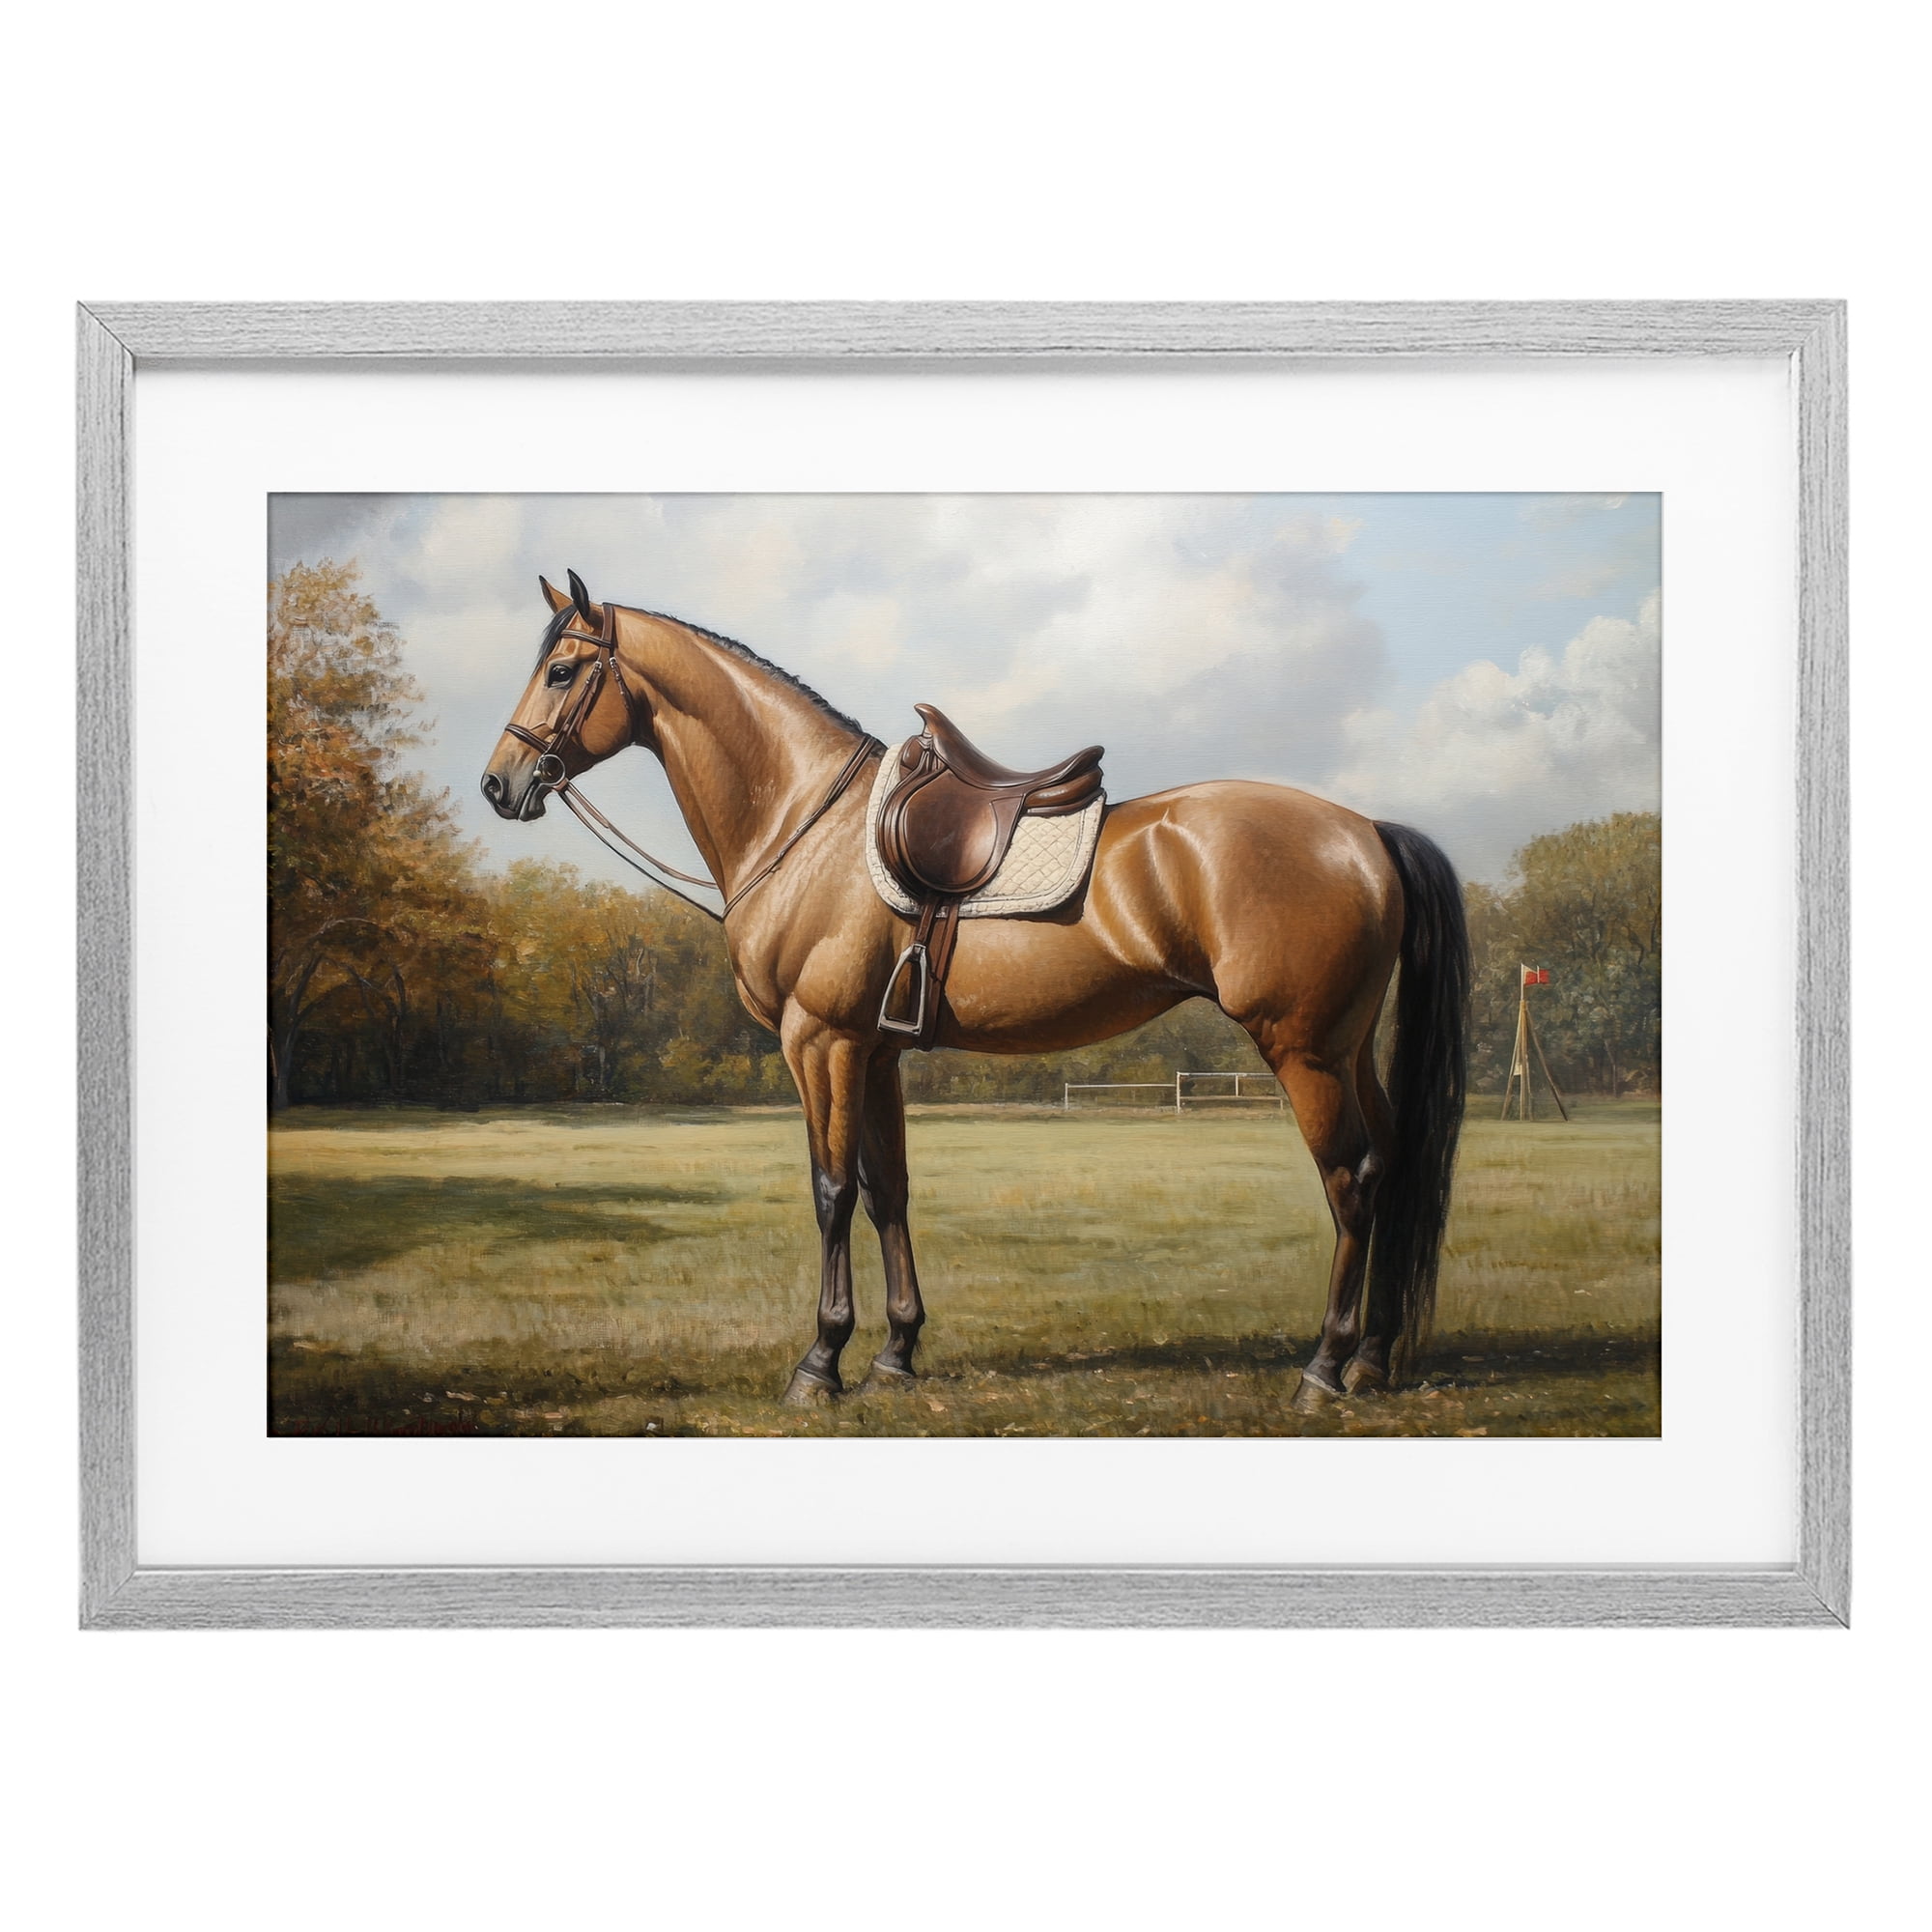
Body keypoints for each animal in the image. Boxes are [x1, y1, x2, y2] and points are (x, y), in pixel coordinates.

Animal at [482, 572, 1470, 1411]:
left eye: (561, 670)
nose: (500, 783)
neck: (806, 824)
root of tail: (1365, 832)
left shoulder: (820, 1041)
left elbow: (830, 1191)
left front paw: (820, 1364)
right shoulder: (875, 1053)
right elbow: (887, 1191)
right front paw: (895, 1353)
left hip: (1302, 1051)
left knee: (1349, 1181)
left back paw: (1323, 1369)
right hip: (1347, 1049)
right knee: (1392, 1164)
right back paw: (1372, 1358)